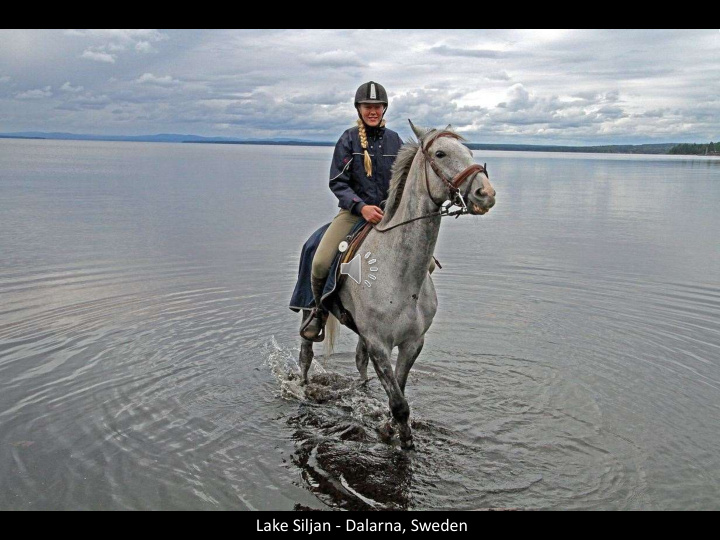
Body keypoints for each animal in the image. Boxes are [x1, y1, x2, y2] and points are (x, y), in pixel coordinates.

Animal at [296, 120, 496, 450]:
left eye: (469, 152)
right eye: (440, 154)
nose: (486, 193)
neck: (401, 274)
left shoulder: (411, 342)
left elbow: (399, 391)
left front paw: (389, 428)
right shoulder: (379, 343)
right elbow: (400, 404)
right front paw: (403, 441)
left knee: (359, 362)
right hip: (307, 312)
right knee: (306, 354)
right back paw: (302, 387)